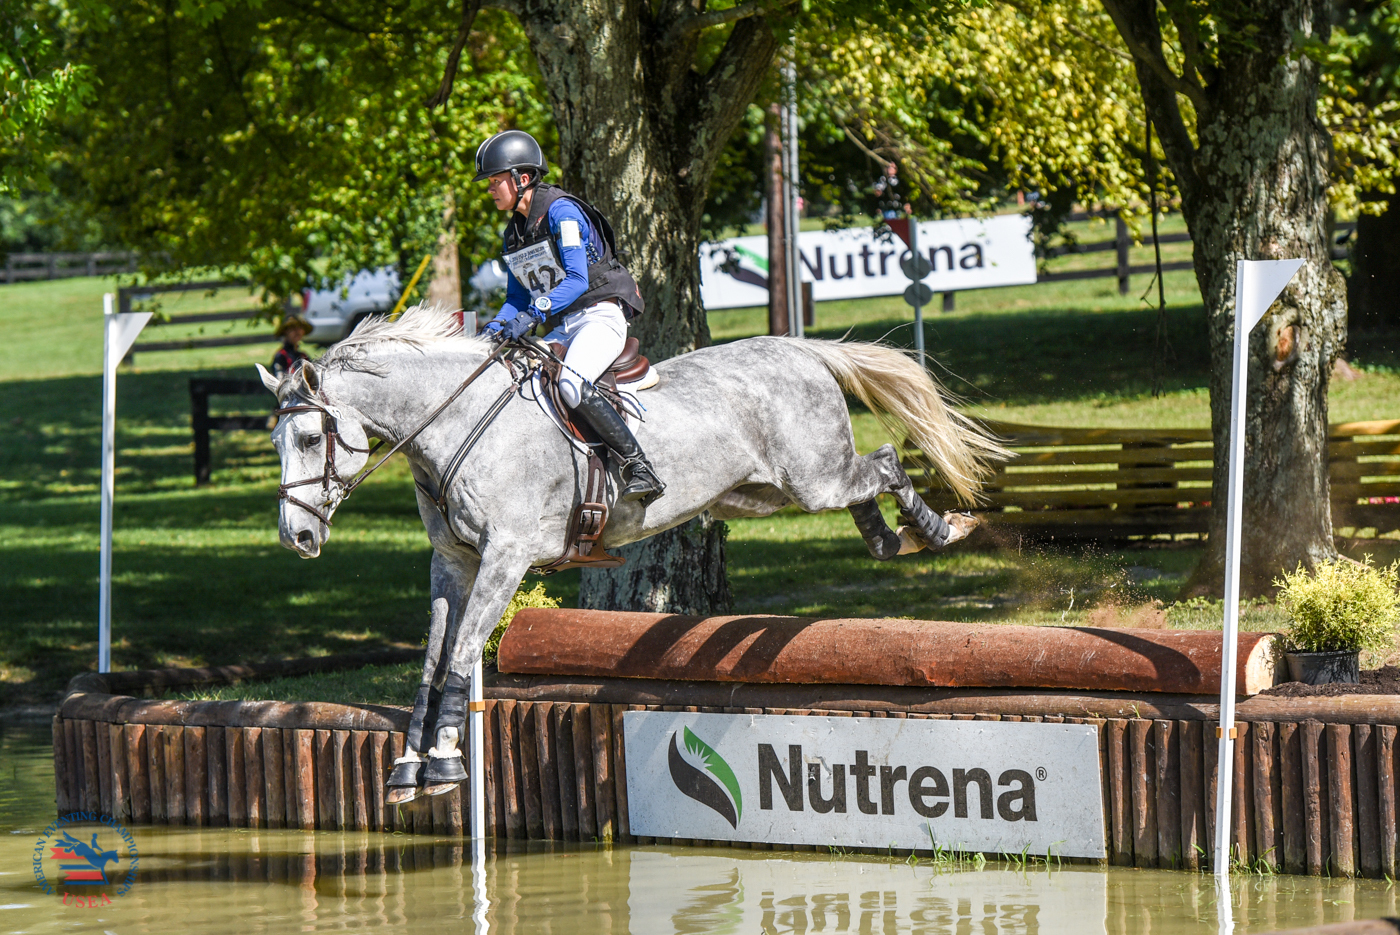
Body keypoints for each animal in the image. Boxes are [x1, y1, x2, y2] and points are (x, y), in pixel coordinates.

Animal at [257, 305, 1007, 802]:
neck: (454, 422)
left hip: (809, 477)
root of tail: (800, 350)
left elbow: (466, 648)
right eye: (275, 443)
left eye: (309, 439)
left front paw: (443, 763)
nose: (297, 539)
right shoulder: (453, 563)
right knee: (867, 480)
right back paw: (891, 537)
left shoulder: (506, 556)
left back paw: (938, 529)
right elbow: (434, 657)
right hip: (759, 494)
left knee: (882, 463)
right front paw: (409, 769)